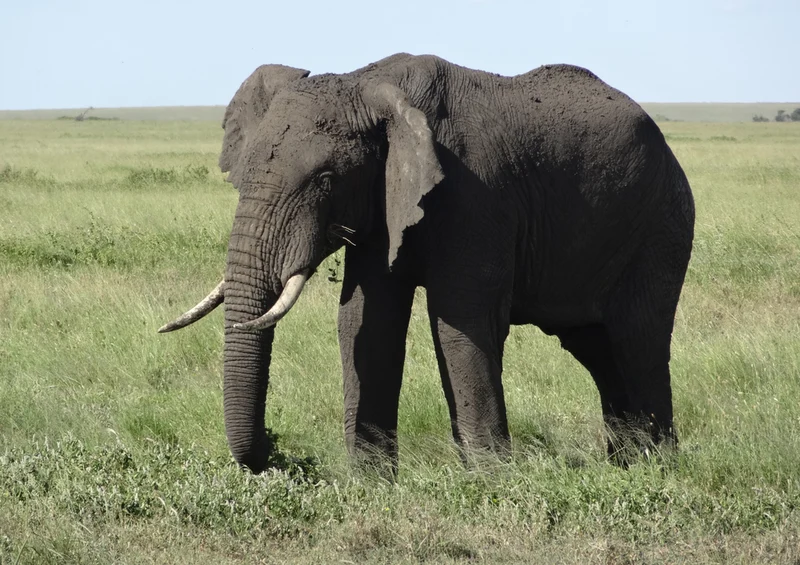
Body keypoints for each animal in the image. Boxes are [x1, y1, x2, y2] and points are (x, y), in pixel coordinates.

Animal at [159, 53, 695, 474]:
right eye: (242, 176)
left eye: (326, 180)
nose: (274, 452)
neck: (368, 86)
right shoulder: (383, 203)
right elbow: (365, 321)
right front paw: (371, 483)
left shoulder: (477, 192)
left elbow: (461, 322)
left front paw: (492, 481)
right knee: (598, 350)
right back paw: (626, 465)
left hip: (661, 223)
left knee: (637, 341)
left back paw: (657, 469)